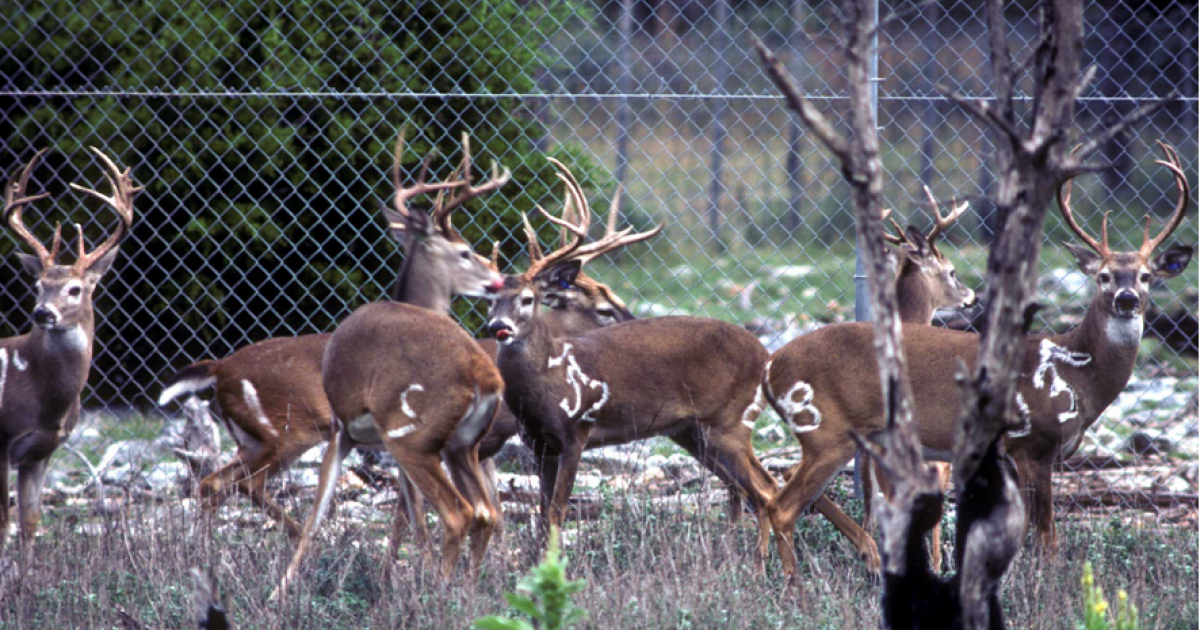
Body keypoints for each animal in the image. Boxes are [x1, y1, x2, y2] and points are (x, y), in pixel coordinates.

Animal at [0, 147, 137, 555]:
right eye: (38, 285)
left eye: (75, 289)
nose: (42, 312)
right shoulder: (1, 441)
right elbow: (4, 523)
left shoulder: (41, 451)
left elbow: (29, 523)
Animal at [156, 129, 509, 539]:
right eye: (465, 251)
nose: (498, 280)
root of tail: (220, 368)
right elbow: (415, 509)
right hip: (287, 431)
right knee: (244, 483)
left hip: (249, 439)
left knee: (212, 483)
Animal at [485, 159, 791, 570]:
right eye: (490, 300)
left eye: (528, 299)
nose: (498, 327)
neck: (546, 383)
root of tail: (765, 354)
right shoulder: (537, 442)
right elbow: (541, 512)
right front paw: (534, 568)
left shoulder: (575, 432)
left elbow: (557, 511)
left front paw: (555, 568)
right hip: (691, 431)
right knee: (742, 489)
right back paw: (738, 560)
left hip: (730, 422)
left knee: (765, 488)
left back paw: (760, 567)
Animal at [762, 142, 1193, 578]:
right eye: (1103, 276)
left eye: (1146, 276)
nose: (1127, 299)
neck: (1076, 373)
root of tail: (770, 368)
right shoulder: (1031, 444)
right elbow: (1048, 539)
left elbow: (1017, 536)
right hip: (825, 431)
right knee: (783, 505)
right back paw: (794, 584)